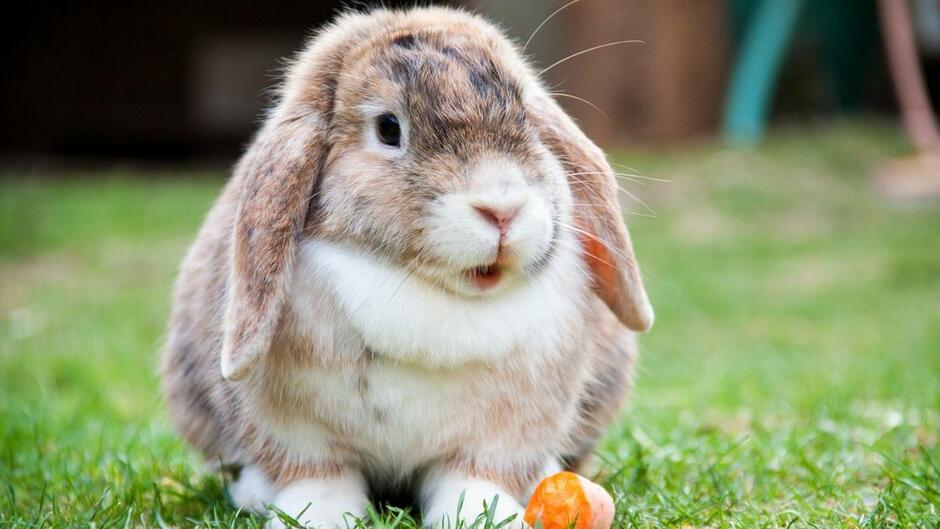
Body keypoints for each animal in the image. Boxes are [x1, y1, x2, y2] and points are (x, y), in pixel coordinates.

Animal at [160, 6, 653, 529]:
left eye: (526, 117)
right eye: (388, 129)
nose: (502, 209)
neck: (428, 291)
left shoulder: (502, 436)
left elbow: (473, 478)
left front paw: (480, 515)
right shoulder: (297, 432)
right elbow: (318, 476)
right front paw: (318, 516)